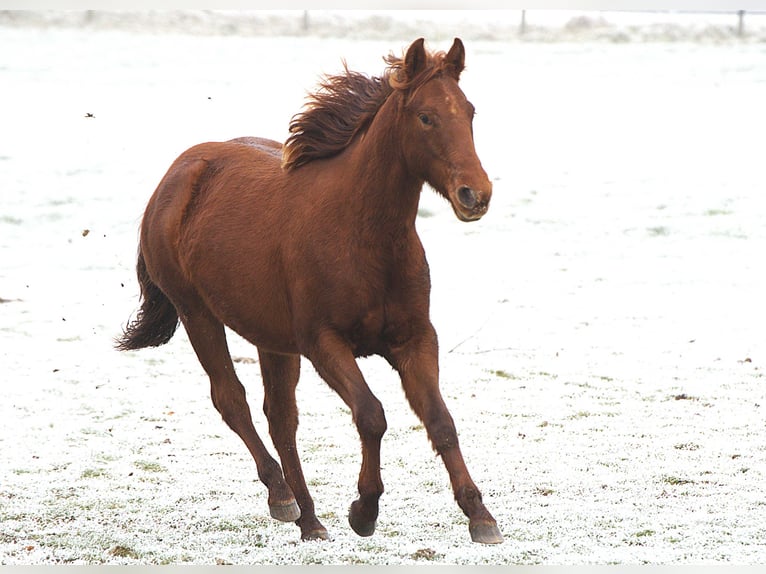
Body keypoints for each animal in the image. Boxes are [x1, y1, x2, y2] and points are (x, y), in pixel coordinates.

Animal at [115, 39, 504, 544]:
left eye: (470, 112)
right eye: (425, 117)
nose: (475, 194)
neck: (363, 236)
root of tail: (175, 176)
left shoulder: (415, 340)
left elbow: (441, 421)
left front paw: (480, 516)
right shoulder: (324, 343)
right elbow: (371, 415)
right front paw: (364, 510)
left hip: (272, 341)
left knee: (281, 418)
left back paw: (310, 518)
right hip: (198, 315)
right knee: (232, 400)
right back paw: (282, 497)